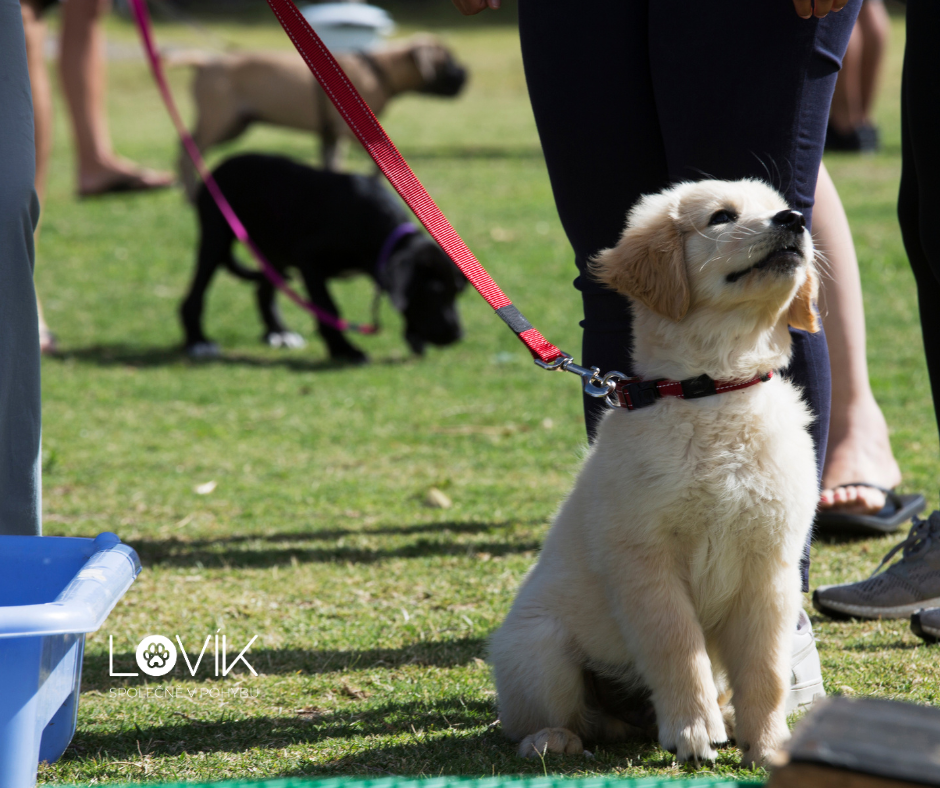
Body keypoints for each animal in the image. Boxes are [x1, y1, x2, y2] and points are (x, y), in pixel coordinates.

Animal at [171, 36, 467, 198]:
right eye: (449, 62)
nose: (467, 76)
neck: (378, 68)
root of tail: (206, 61)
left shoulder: (331, 135)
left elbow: (330, 166)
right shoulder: (352, 133)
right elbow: (373, 166)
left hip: (233, 124)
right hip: (220, 121)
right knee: (189, 153)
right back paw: (192, 195)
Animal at [180, 153, 466, 362]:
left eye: (456, 293)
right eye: (434, 292)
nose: (457, 336)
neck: (379, 230)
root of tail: (221, 165)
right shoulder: (309, 260)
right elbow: (328, 308)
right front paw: (344, 350)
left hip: (275, 254)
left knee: (263, 291)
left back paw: (279, 333)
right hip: (216, 237)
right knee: (195, 296)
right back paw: (198, 341)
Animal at [488, 179, 821, 767]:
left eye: (780, 206)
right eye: (721, 217)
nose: (794, 219)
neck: (714, 392)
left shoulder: (771, 565)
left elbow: (766, 671)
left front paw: (768, 743)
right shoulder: (646, 561)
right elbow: (677, 647)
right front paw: (692, 730)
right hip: (538, 647)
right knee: (553, 718)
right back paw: (552, 739)